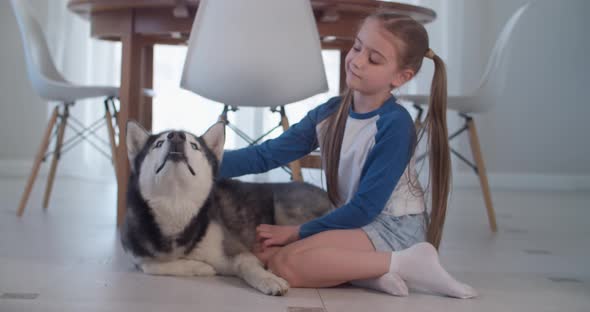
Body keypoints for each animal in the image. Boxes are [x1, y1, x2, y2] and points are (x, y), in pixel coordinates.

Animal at [121, 121, 332, 294]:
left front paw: (269, 279)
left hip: (284, 209)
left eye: (194, 146)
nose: (176, 136)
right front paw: (199, 267)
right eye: (158, 144)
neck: (176, 203)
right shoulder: (136, 253)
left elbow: (249, 266)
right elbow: (150, 265)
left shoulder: (237, 251)